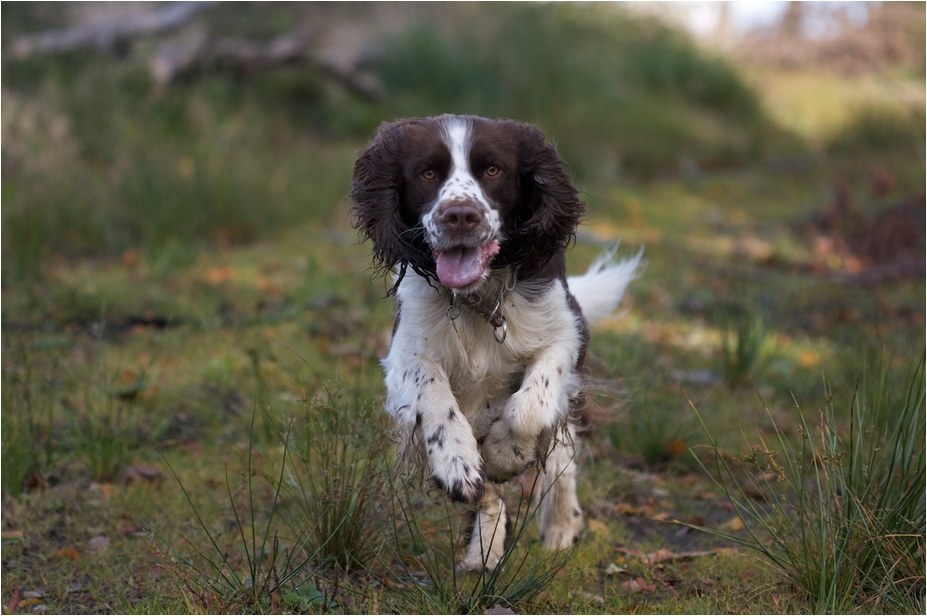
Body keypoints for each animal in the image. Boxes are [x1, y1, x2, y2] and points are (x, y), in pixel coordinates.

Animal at [348, 114, 640, 568]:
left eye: (492, 170)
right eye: (427, 173)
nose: (460, 215)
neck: (477, 299)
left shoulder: (566, 335)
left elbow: (530, 406)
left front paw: (506, 454)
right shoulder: (404, 354)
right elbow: (434, 391)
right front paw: (458, 463)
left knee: (561, 457)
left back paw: (561, 524)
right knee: (491, 498)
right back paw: (482, 553)